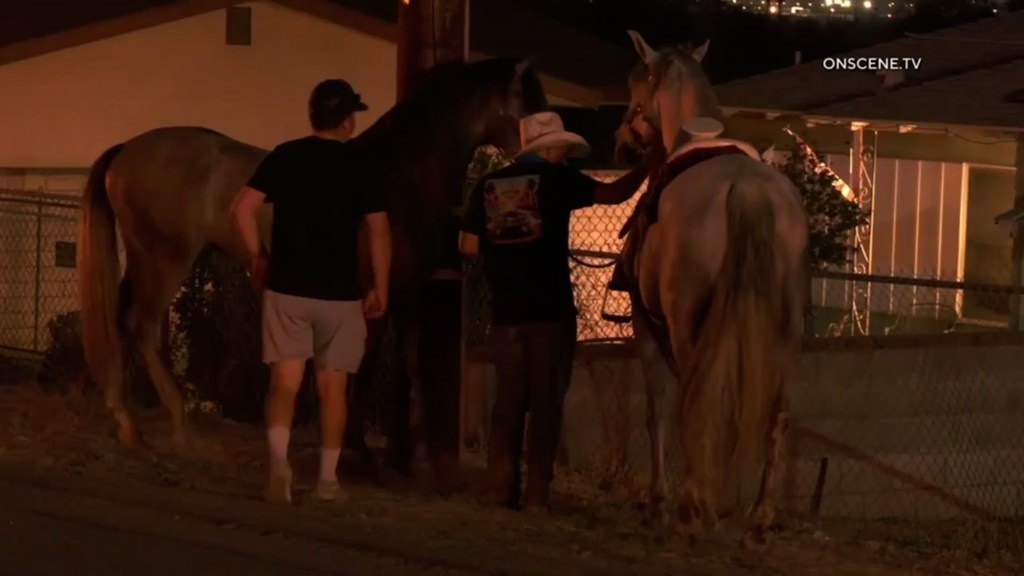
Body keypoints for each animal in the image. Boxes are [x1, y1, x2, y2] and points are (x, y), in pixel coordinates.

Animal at [77, 57, 544, 475]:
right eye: (532, 103)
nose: (540, 157)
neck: (397, 174)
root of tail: (126, 151)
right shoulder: (374, 298)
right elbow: (364, 367)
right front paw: (361, 453)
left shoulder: (405, 296)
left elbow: (410, 365)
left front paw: (405, 456)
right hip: (165, 258)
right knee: (141, 325)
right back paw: (177, 424)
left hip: (142, 258)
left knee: (120, 322)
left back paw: (126, 422)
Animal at [614, 32, 806, 545]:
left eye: (635, 87)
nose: (622, 144)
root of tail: (748, 189)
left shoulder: (646, 327)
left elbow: (657, 410)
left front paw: (658, 501)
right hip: (784, 331)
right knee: (776, 412)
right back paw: (758, 517)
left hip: (686, 325)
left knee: (697, 399)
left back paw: (688, 508)